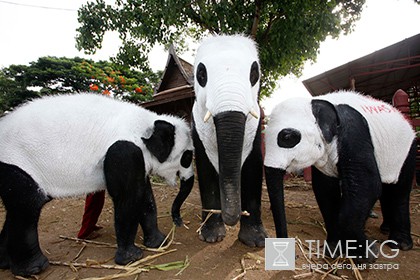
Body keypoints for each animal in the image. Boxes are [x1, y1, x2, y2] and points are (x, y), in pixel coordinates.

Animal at [0, 93, 194, 276]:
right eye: (187, 157)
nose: (179, 221)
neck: (147, 122)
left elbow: (144, 194)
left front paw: (159, 242)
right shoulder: (123, 151)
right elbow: (127, 197)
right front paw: (132, 258)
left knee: (18, 209)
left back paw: (6, 263)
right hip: (16, 164)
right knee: (28, 206)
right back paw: (33, 269)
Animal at [192, 35, 268, 247]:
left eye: (254, 74)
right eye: (201, 75)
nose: (239, 214)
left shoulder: (256, 125)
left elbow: (253, 166)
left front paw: (256, 240)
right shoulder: (196, 124)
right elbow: (205, 168)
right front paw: (211, 235)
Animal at [264, 91, 416, 264]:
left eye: (287, 137)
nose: (294, 256)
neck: (315, 103)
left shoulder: (354, 131)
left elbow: (367, 187)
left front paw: (367, 254)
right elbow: (326, 191)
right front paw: (334, 250)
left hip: (405, 152)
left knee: (399, 192)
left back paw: (400, 243)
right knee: (387, 191)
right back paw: (385, 228)